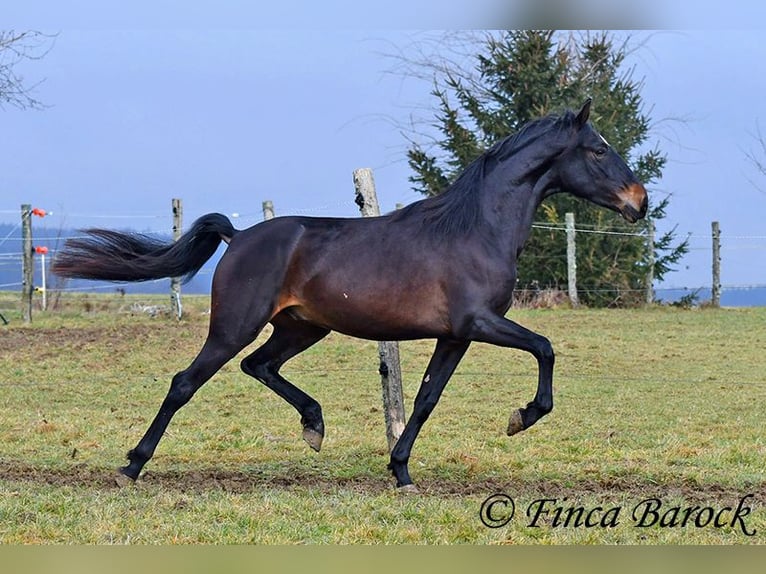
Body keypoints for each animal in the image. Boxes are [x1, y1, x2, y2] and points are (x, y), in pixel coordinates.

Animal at [52, 101, 648, 492]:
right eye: (598, 150)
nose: (639, 201)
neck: (475, 228)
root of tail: (239, 237)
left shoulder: (455, 336)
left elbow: (427, 399)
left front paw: (401, 471)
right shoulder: (479, 322)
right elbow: (545, 348)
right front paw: (521, 417)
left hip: (302, 327)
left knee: (259, 366)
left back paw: (314, 426)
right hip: (235, 325)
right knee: (185, 382)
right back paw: (132, 465)